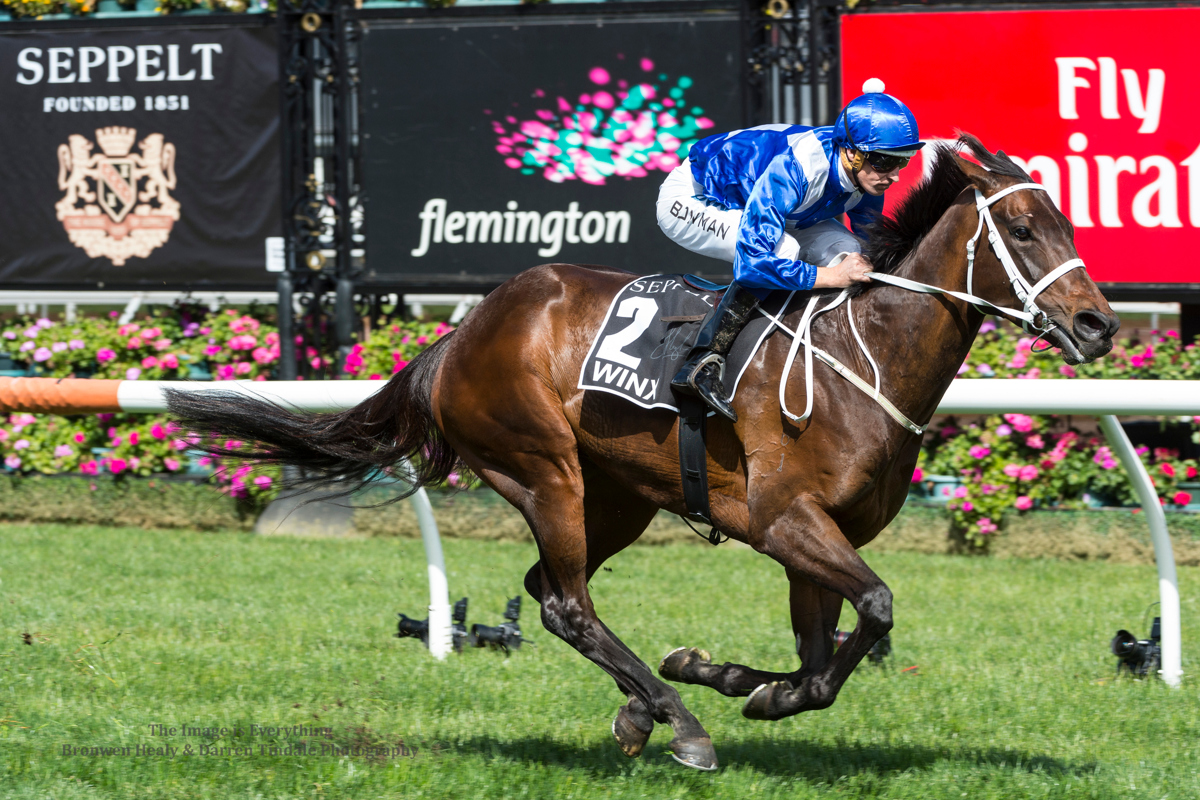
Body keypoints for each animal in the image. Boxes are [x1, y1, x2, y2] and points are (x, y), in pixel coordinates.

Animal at [169, 136, 1113, 767]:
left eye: (1066, 222)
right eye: (1022, 227)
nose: (1099, 324)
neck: (863, 357)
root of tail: (462, 331)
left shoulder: (816, 535)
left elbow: (821, 660)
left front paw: (734, 677)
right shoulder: (785, 520)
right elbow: (876, 608)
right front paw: (726, 688)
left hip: (617, 494)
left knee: (548, 590)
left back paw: (644, 710)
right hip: (543, 468)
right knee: (567, 604)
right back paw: (677, 724)